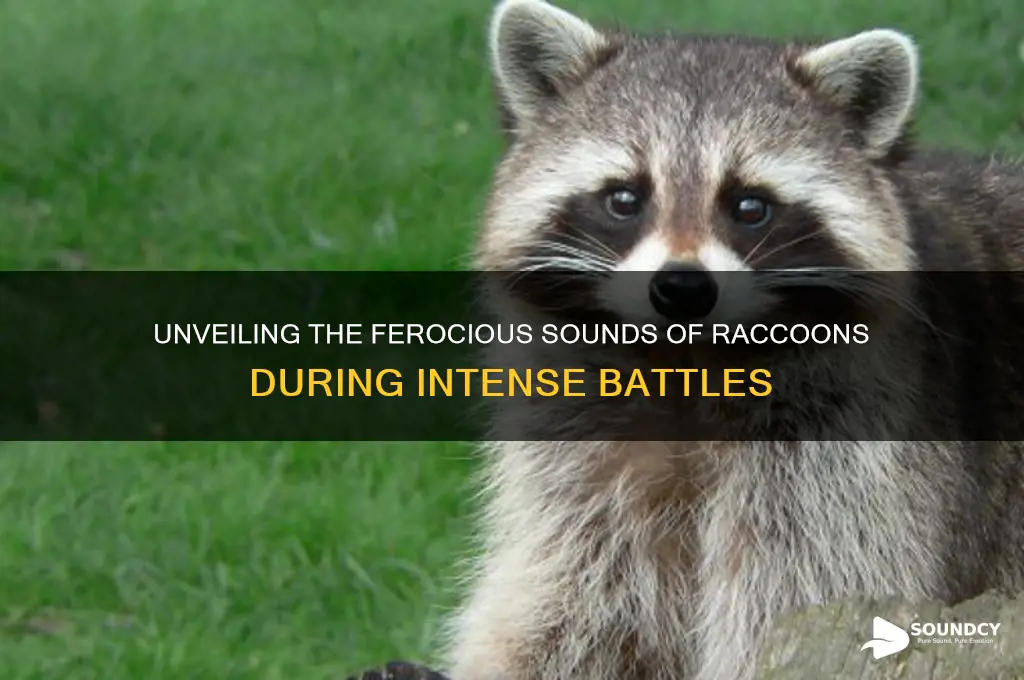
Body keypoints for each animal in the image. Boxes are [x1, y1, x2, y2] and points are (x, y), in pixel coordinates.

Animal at [439, 1, 1024, 680]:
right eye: (624, 198)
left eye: (749, 206)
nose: (682, 289)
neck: (685, 364)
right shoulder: (582, 454)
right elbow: (581, 602)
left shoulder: (847, 456)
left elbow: (798, 591)